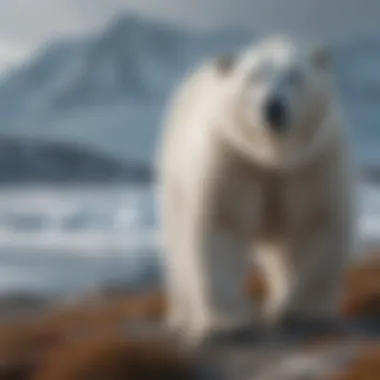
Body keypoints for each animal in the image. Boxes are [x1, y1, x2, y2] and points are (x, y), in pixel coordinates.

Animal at [155, 35, 356, 344]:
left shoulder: (312, 165)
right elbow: (221, 227)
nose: (273, 107)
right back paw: (180, 317)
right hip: (175, 178)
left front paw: (298, 312)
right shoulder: (233, 160)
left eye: (295, 76)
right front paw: (226, 323)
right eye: (253, 77)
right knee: (179, 248)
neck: (271, 157)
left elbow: (315, 226)